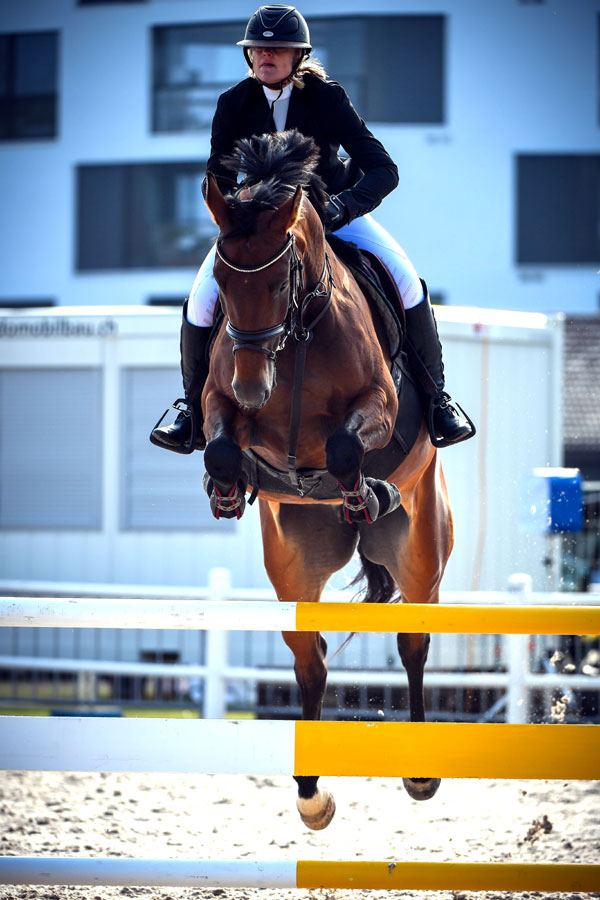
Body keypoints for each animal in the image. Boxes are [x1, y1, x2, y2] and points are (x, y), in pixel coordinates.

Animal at [201, 130, 454, 830]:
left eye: (280, 275)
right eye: (222, 280)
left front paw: (367, 491)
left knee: (413, 641)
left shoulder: (379, 405)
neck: (297, 337)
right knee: (308, 661)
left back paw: (420, 774)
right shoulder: (218, 404)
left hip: (421, 556)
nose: (252, 386)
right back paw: (311, 793)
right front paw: (226, 489)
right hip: (294, 569)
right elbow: (221, 447)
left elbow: (343, 445)